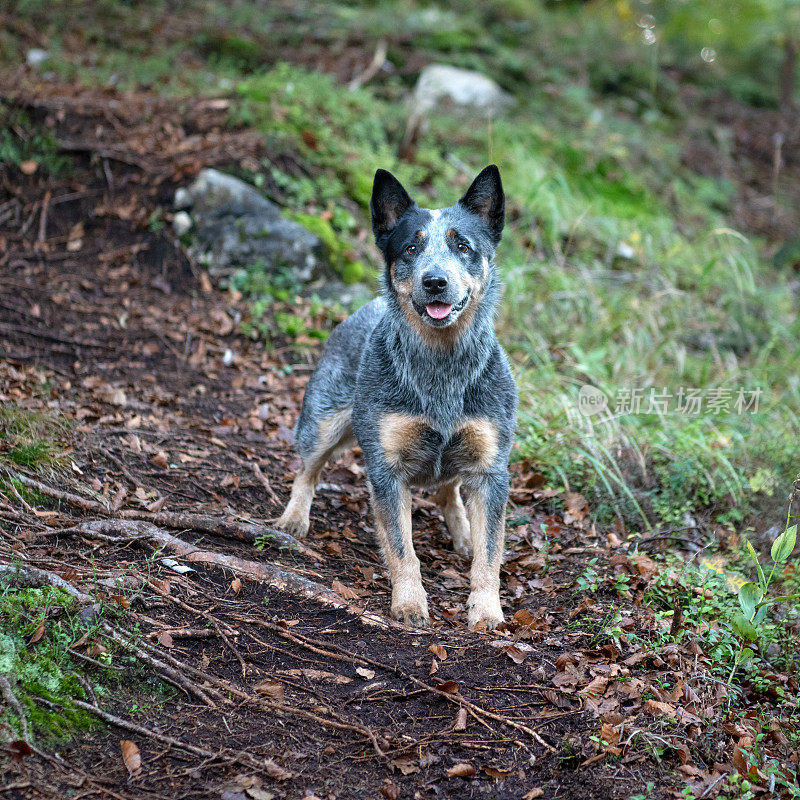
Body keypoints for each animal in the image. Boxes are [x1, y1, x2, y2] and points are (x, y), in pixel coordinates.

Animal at [276, 167, 520, 632]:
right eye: (411, 247)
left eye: (463, 246)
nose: (434, 281)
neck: (442, 367)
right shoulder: (386, 471)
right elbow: (402, 549)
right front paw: (409, 603)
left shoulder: (491, 470)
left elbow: (490, 554)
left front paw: (486, 610)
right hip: (323, 424)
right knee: (307, 471)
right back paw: (293, 519)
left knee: (449, 491)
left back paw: (463, 532)